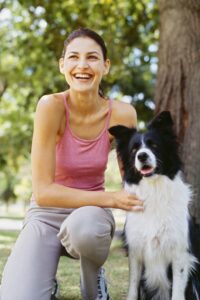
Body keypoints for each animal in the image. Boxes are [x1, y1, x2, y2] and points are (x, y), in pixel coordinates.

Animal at [108, 112, 200, 300]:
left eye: (154, 145)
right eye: (134, 150)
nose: (142, 156)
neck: (154, 190)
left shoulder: (180, 253)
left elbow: (177, 291)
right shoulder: (135, 251)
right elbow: (133, 287)